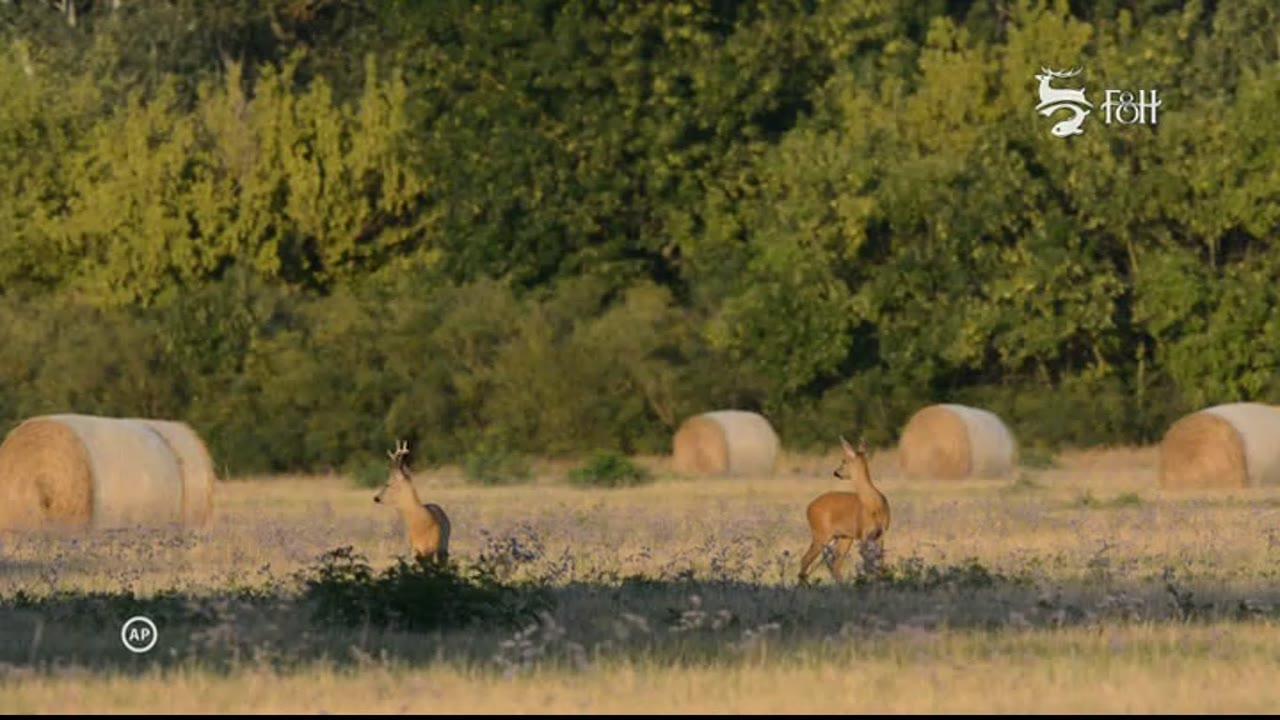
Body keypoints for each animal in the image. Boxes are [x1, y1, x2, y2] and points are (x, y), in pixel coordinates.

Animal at [798, 435, 890, 579]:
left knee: (833, 565)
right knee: (806, 560)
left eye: (844, 460)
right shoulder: (863, 533)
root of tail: (809, 507)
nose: (836, 472)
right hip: (821, 533)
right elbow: (868, 564)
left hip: (842, 537)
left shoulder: (881, 533)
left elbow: (878, 563)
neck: (874, 504)